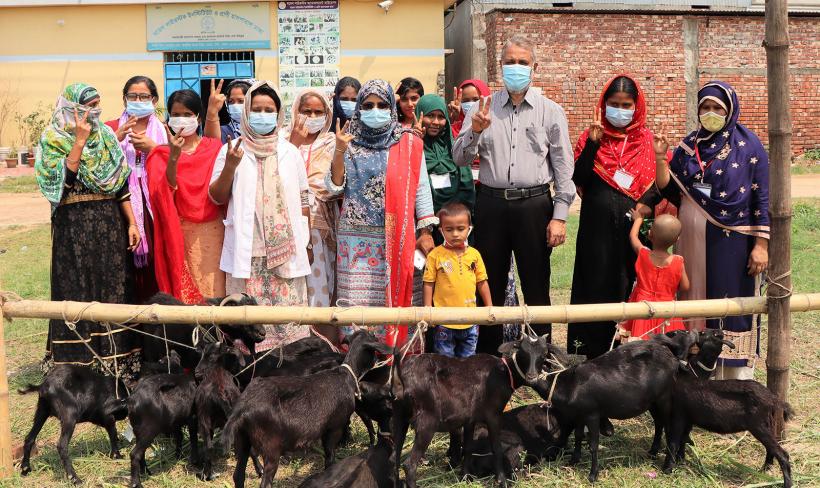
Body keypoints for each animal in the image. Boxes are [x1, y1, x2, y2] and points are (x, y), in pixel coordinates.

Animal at [223, 330, 392, 486]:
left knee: (238, 476)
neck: (345, 374)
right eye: (374, 339)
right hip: (271, 448)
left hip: (243, 440)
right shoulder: (334, 427)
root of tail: (241, 409)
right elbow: (330, 457)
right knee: (265, 481)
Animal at [390, 336, 552, 488]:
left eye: (544, 354)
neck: (504, 373)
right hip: (427, 422)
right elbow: (497, 448)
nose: (532, 377)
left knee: (394, 459)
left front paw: (465, 477)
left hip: (399, 418)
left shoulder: (470, 418)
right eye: (522, 352)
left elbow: (468, 447)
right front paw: (501, 480)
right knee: (409, 464)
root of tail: (402, 379)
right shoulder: (493, 414)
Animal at [540, 330, 700, 482]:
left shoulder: (591, 415)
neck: (570, 384)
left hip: (664, 399)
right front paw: (573, 460)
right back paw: (654, 452)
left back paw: (669, 462)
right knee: (659, 423)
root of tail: (671, 356)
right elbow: (579, 435)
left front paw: (592, 475)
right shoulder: (580, 415)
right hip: (652, 402)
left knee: (669, 427)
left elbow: (593, 444)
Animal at [668, 328, 796, 488]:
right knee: (771, 449)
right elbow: (683, 439)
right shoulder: (689, 418)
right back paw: (765, 469)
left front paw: (671, 467)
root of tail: (774, 399)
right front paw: (681, 461)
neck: (690, 374)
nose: (693, 331)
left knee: (783, 454)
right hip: (768, 424)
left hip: (759, 426)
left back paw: (786, 483)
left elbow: (676, 440)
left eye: (703, 333)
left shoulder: (679, 413)